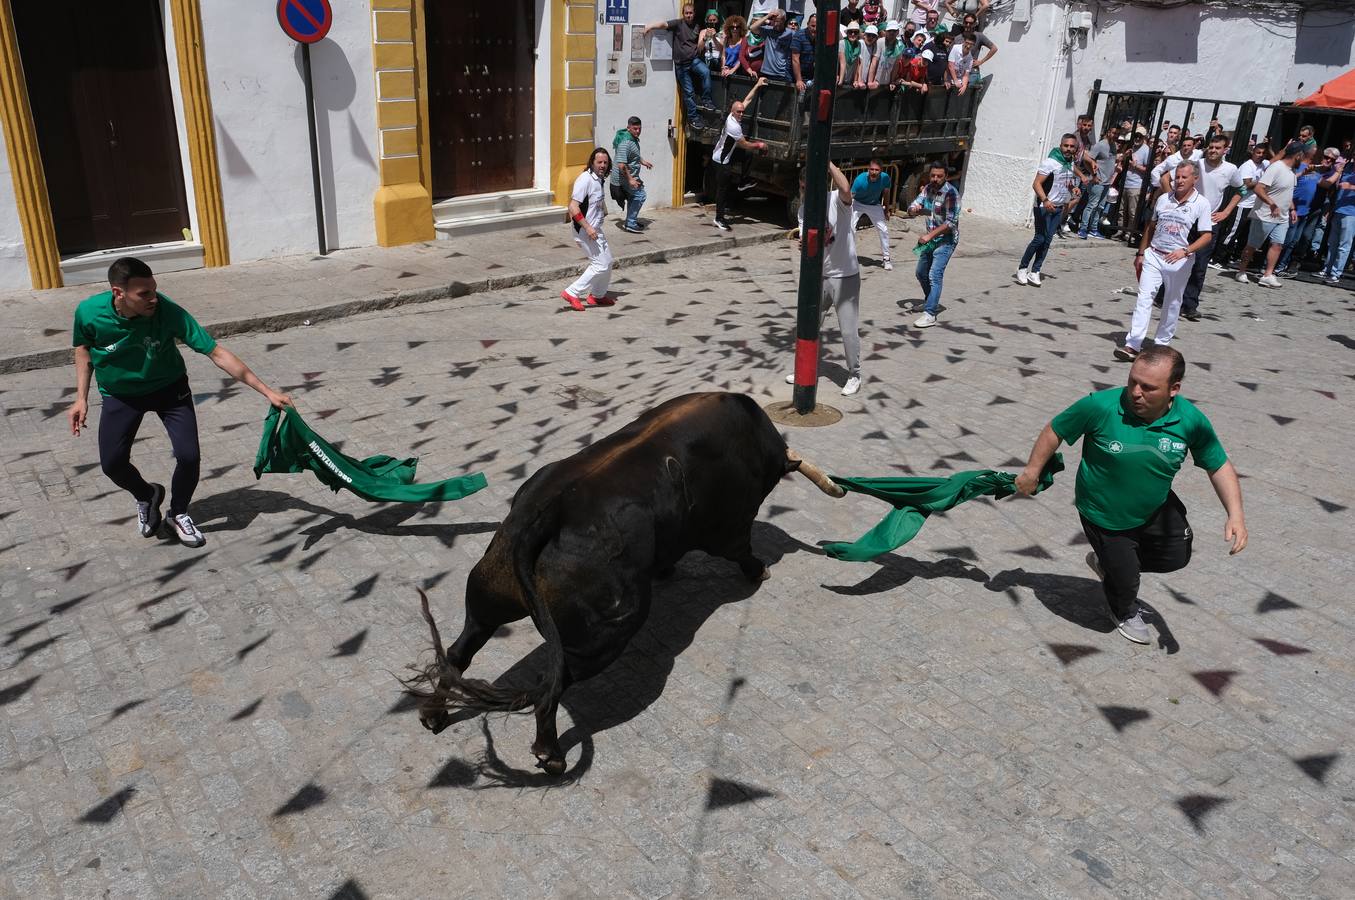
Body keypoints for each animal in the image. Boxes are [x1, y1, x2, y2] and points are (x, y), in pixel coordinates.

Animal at [406, 393, 840, 775]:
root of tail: (546, 514)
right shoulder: (730, 527)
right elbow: (742, 551)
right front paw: (759, 570)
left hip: (488, 597)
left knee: (459, 653)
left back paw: (433, 714)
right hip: (603, 637)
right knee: (550, 684)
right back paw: (551, 756)